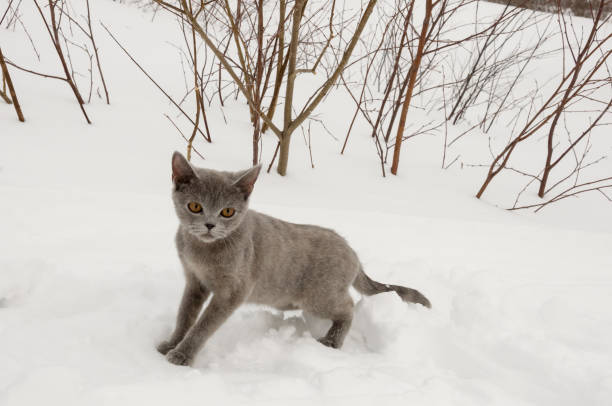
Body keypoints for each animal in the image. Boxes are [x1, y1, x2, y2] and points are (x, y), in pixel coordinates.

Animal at [159, 151, 430, 364]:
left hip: (320, 296)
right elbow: (185, 315)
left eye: (227, 212)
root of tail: (351, 249)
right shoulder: (194, 280)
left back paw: (332, 341)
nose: (209, 225)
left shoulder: (232, 291)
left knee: (348, 307)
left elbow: (204, 325)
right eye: (195, 206)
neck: (202, 250)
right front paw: (171, 343)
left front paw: (182, 355)